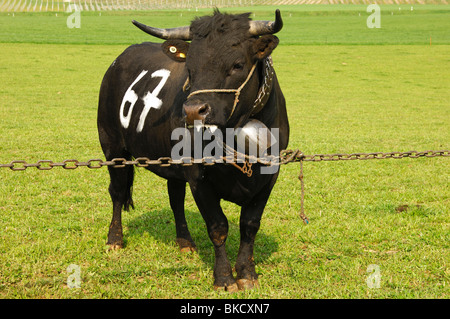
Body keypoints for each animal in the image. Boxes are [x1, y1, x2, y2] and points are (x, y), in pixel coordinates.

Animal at [97, 9, 290, 292]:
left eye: (237, 64)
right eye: (190, 68)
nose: (192, 111)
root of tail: (121, 57)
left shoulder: (269, 176)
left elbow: (250, 225)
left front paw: (247, 273)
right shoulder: (199, 179)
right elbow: (218, 226)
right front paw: (224, 278)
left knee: (175, 198)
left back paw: (185, 242)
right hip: (112, 147)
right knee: (118, 192)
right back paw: (114, 240)